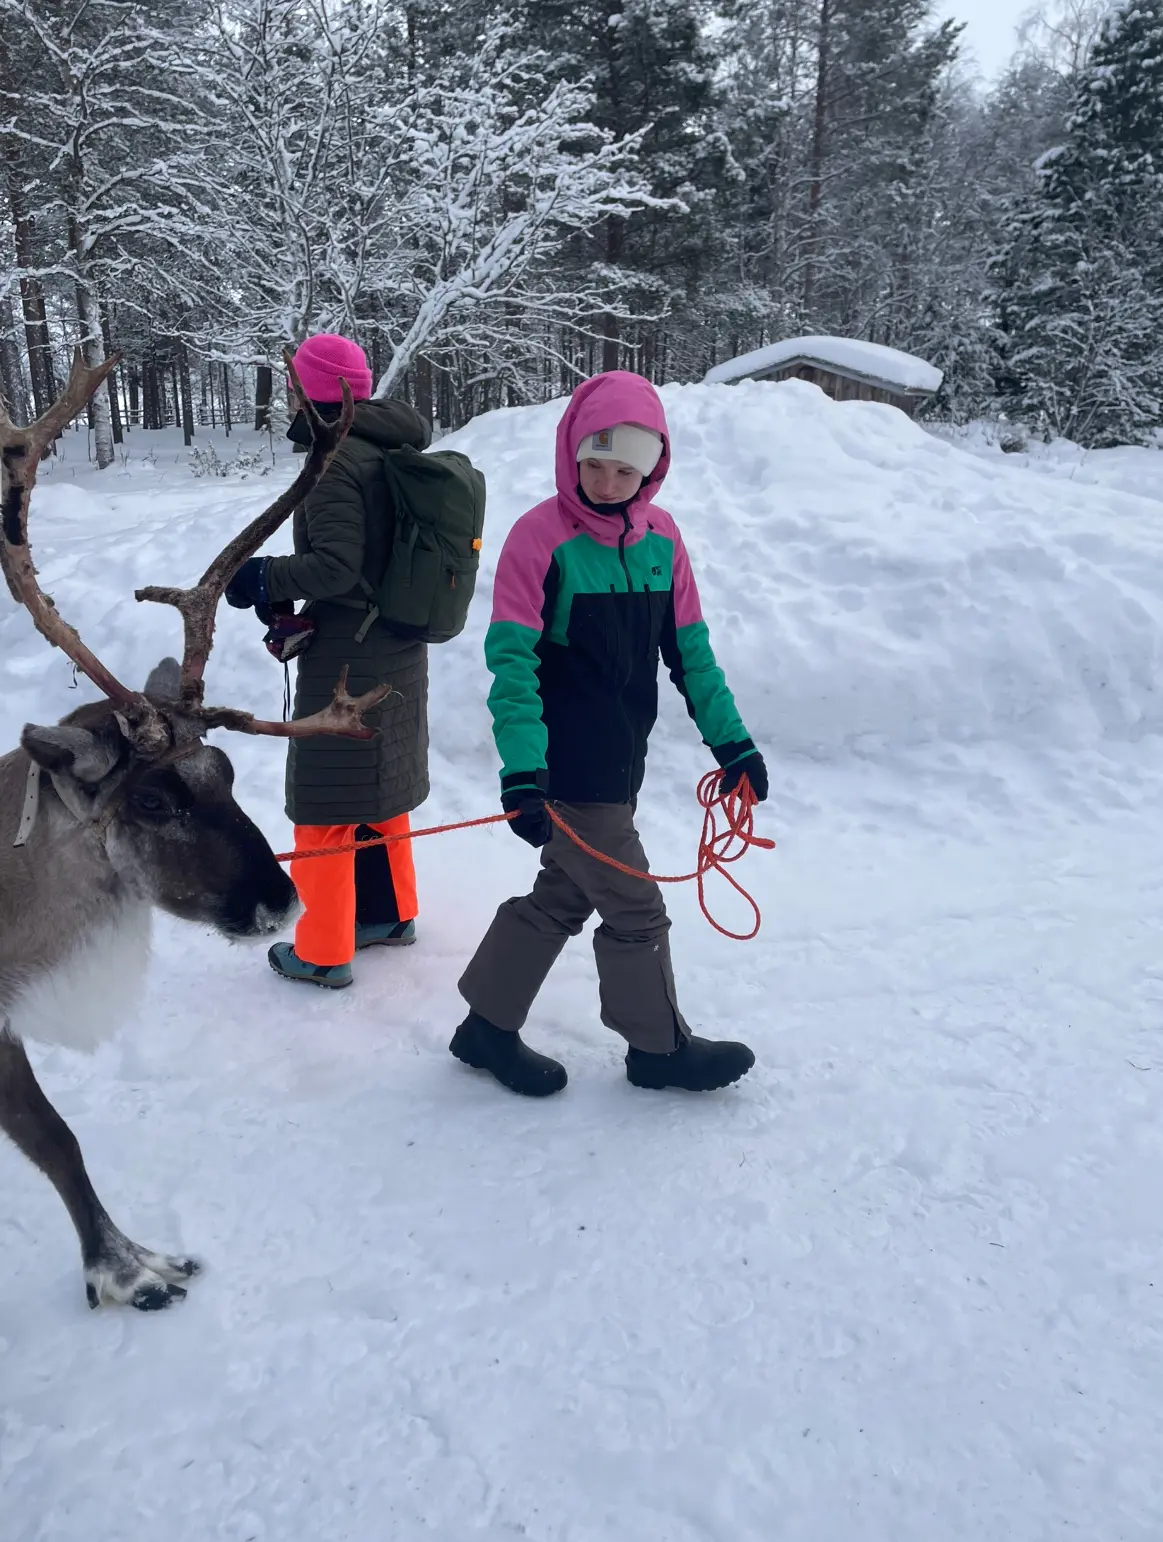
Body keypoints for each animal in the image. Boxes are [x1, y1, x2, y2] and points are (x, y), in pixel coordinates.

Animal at [0, 348, 390, 1312]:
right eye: (150, 801)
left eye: (226, 770)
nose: (280, 904)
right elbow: (51, 1133)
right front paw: (125, 1271)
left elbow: (53, 1135)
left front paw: (129, 1262)